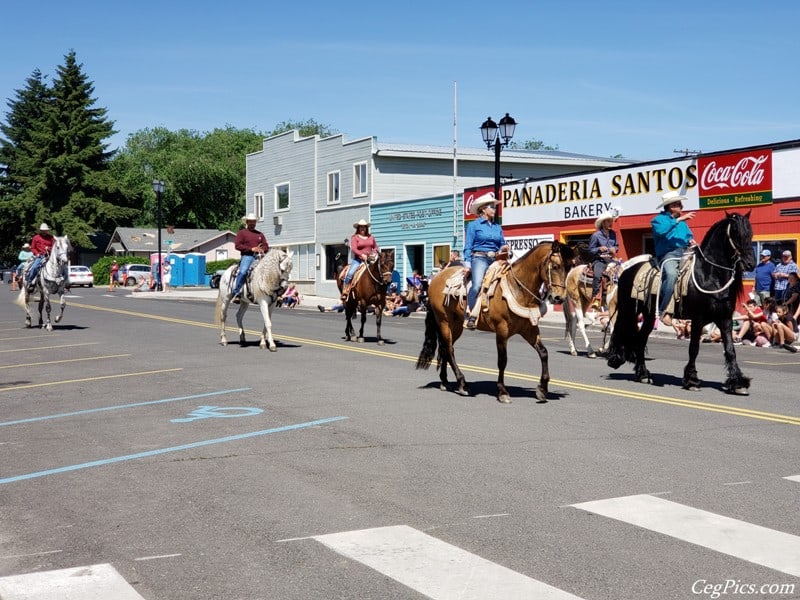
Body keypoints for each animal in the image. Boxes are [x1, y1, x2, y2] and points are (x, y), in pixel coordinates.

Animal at [416, 239, 572, 404]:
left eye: (569, 267)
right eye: (555, 266)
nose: (559, 298)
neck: (518, 289)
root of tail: (436, 278)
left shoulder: (529, 329)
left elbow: (543, 353)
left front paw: (542, 389)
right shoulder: (501, 330)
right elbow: (502, 360)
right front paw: (502, 392)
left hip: (456, 325)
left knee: (446, 348)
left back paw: (445, 382)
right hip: (444, 321)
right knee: (449, 349)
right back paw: (462, 384)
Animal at [608, 211, 756, 394]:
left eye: (750, 233)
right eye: (735, 232)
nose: (750, 264)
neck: (709, 275)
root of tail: (626, 270)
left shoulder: (725, 319)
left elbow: (730, 350)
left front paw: (738, 383)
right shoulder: (698, 319)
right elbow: (694, 349)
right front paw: (691, 380)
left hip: (649, 316)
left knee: (640, 340)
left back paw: (643, 374)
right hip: (629, 310)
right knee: (620, 331)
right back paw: (617, 360)